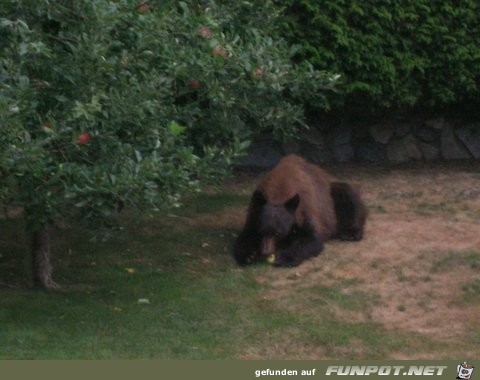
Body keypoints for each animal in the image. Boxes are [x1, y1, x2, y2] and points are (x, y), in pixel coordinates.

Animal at [232, 154, 368, 268]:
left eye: (278, 233)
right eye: (261, 231)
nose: (266, 252)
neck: (279, 192)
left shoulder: (305, 209)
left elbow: (311, 238)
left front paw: (285, 258)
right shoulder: (255, 211)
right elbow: (246, 235)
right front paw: (249, 255)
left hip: (332, 196)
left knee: (347, 193)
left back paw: (351, 232)